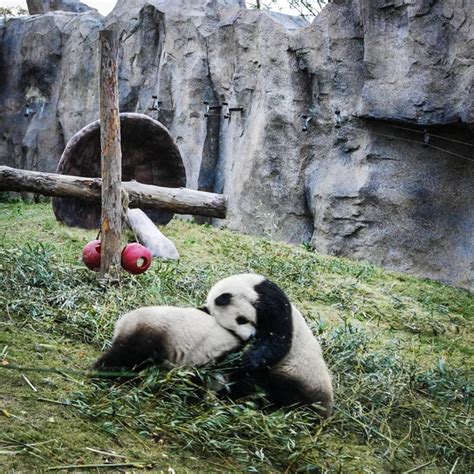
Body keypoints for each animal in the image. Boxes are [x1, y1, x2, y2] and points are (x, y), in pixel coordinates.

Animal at [205, 272, 334, 416]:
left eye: (241, 320)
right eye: (231, 331)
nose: (249, 337)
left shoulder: (272, 300)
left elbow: (278, 340)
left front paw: (247, 360)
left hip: (301, 374)